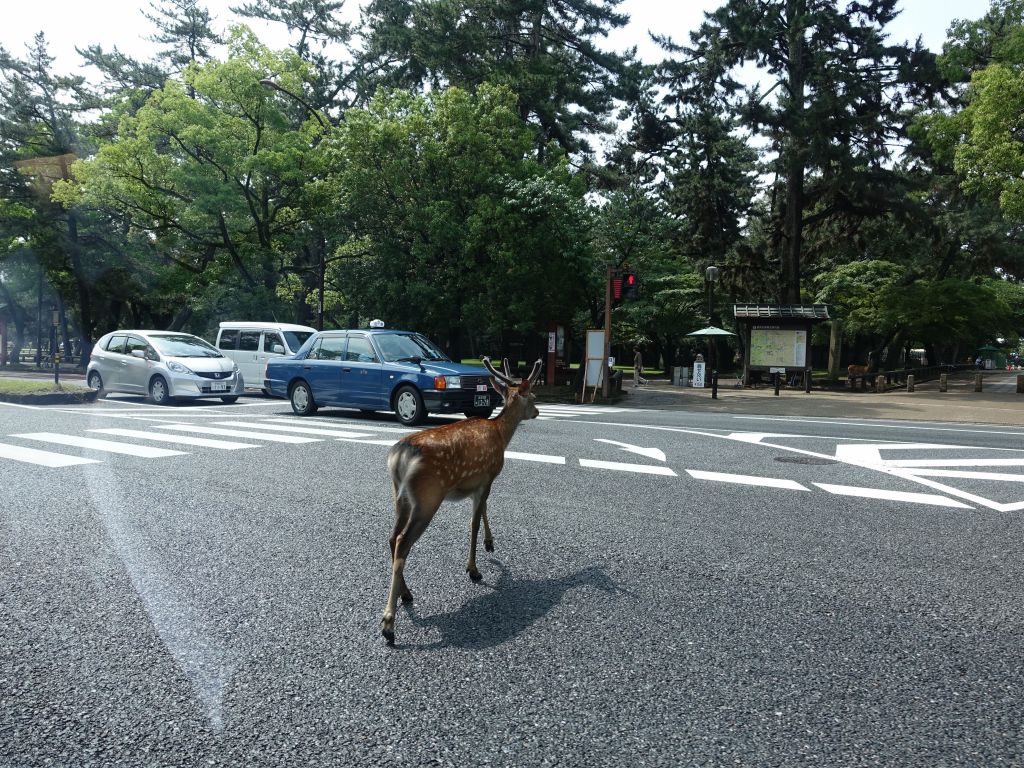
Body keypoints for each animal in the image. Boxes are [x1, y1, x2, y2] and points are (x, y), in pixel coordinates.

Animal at [382, 358, 544, 647]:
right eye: (533, 395)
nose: (537, 411)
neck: (501, 435)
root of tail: (399, 455)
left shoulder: (476, 484)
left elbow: (485, 511)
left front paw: (490, 544)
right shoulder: (489, 475)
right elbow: (474, 524)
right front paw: (473, 570)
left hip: (399, 496)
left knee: (392, 537)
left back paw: (406, 593)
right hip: (427, 498)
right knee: (402, 542)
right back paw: (389, 624)